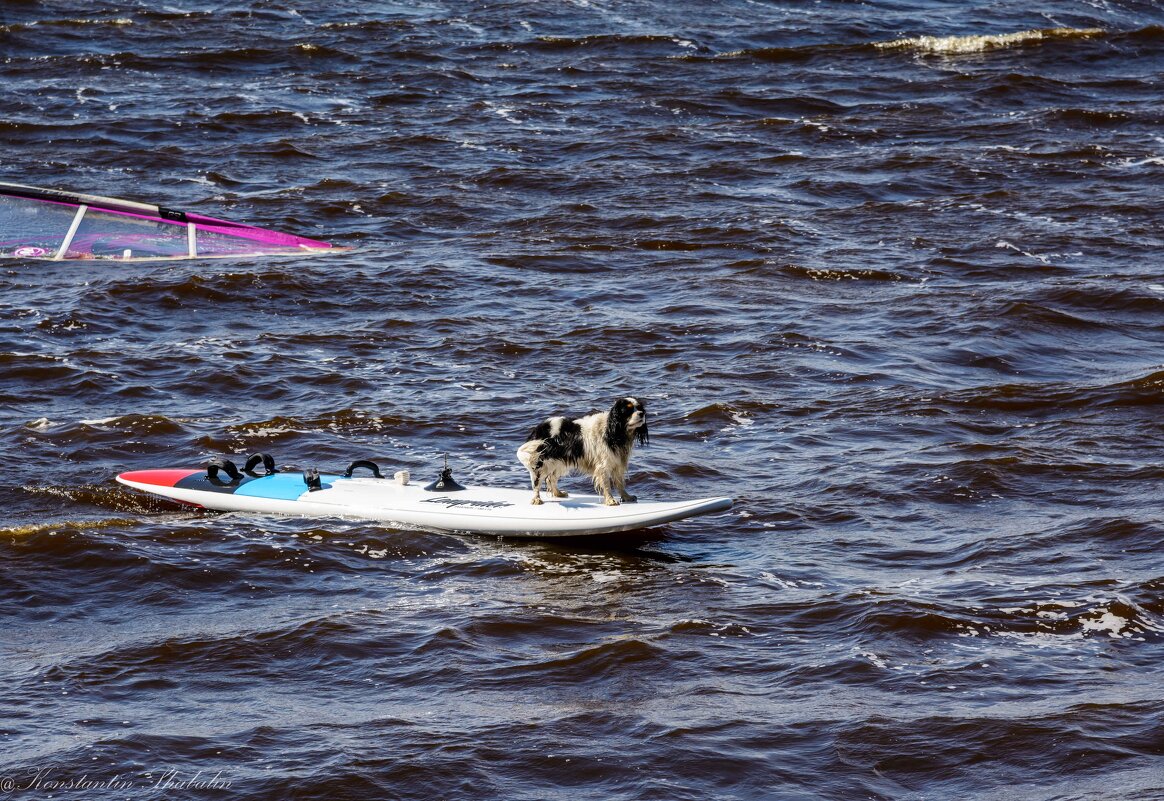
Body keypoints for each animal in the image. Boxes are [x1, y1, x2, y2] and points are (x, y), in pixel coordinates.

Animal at [516, 395, 647, 502]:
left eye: (639, 407)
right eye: (628, 410)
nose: (642, 413)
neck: (614, 431)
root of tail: (538, 429)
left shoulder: (617, 463)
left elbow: (620, 484)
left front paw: (626, 497)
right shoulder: (603, 466)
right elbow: (607, 484)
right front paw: (610, 500)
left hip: (558, 462)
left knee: (551, 478)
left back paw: (558, 494)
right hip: (541, 462)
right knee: (537, 482)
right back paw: (536, 499)